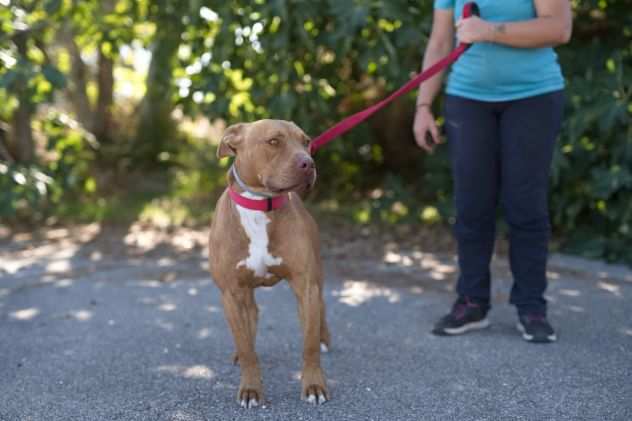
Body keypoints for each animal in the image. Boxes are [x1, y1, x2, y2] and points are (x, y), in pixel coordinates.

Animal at [211, 118, 334, 406]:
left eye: (306, 141)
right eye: (273, 141)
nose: (308, 163)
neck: (260, 206)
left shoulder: (305, 285)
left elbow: (309, 344)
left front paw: (314, 385)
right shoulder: (231, 293)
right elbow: (246, 348)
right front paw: (250, 387)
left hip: (317, 276)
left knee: (321, 308)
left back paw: (324, 337)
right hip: (244, 294)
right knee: (251, 317)